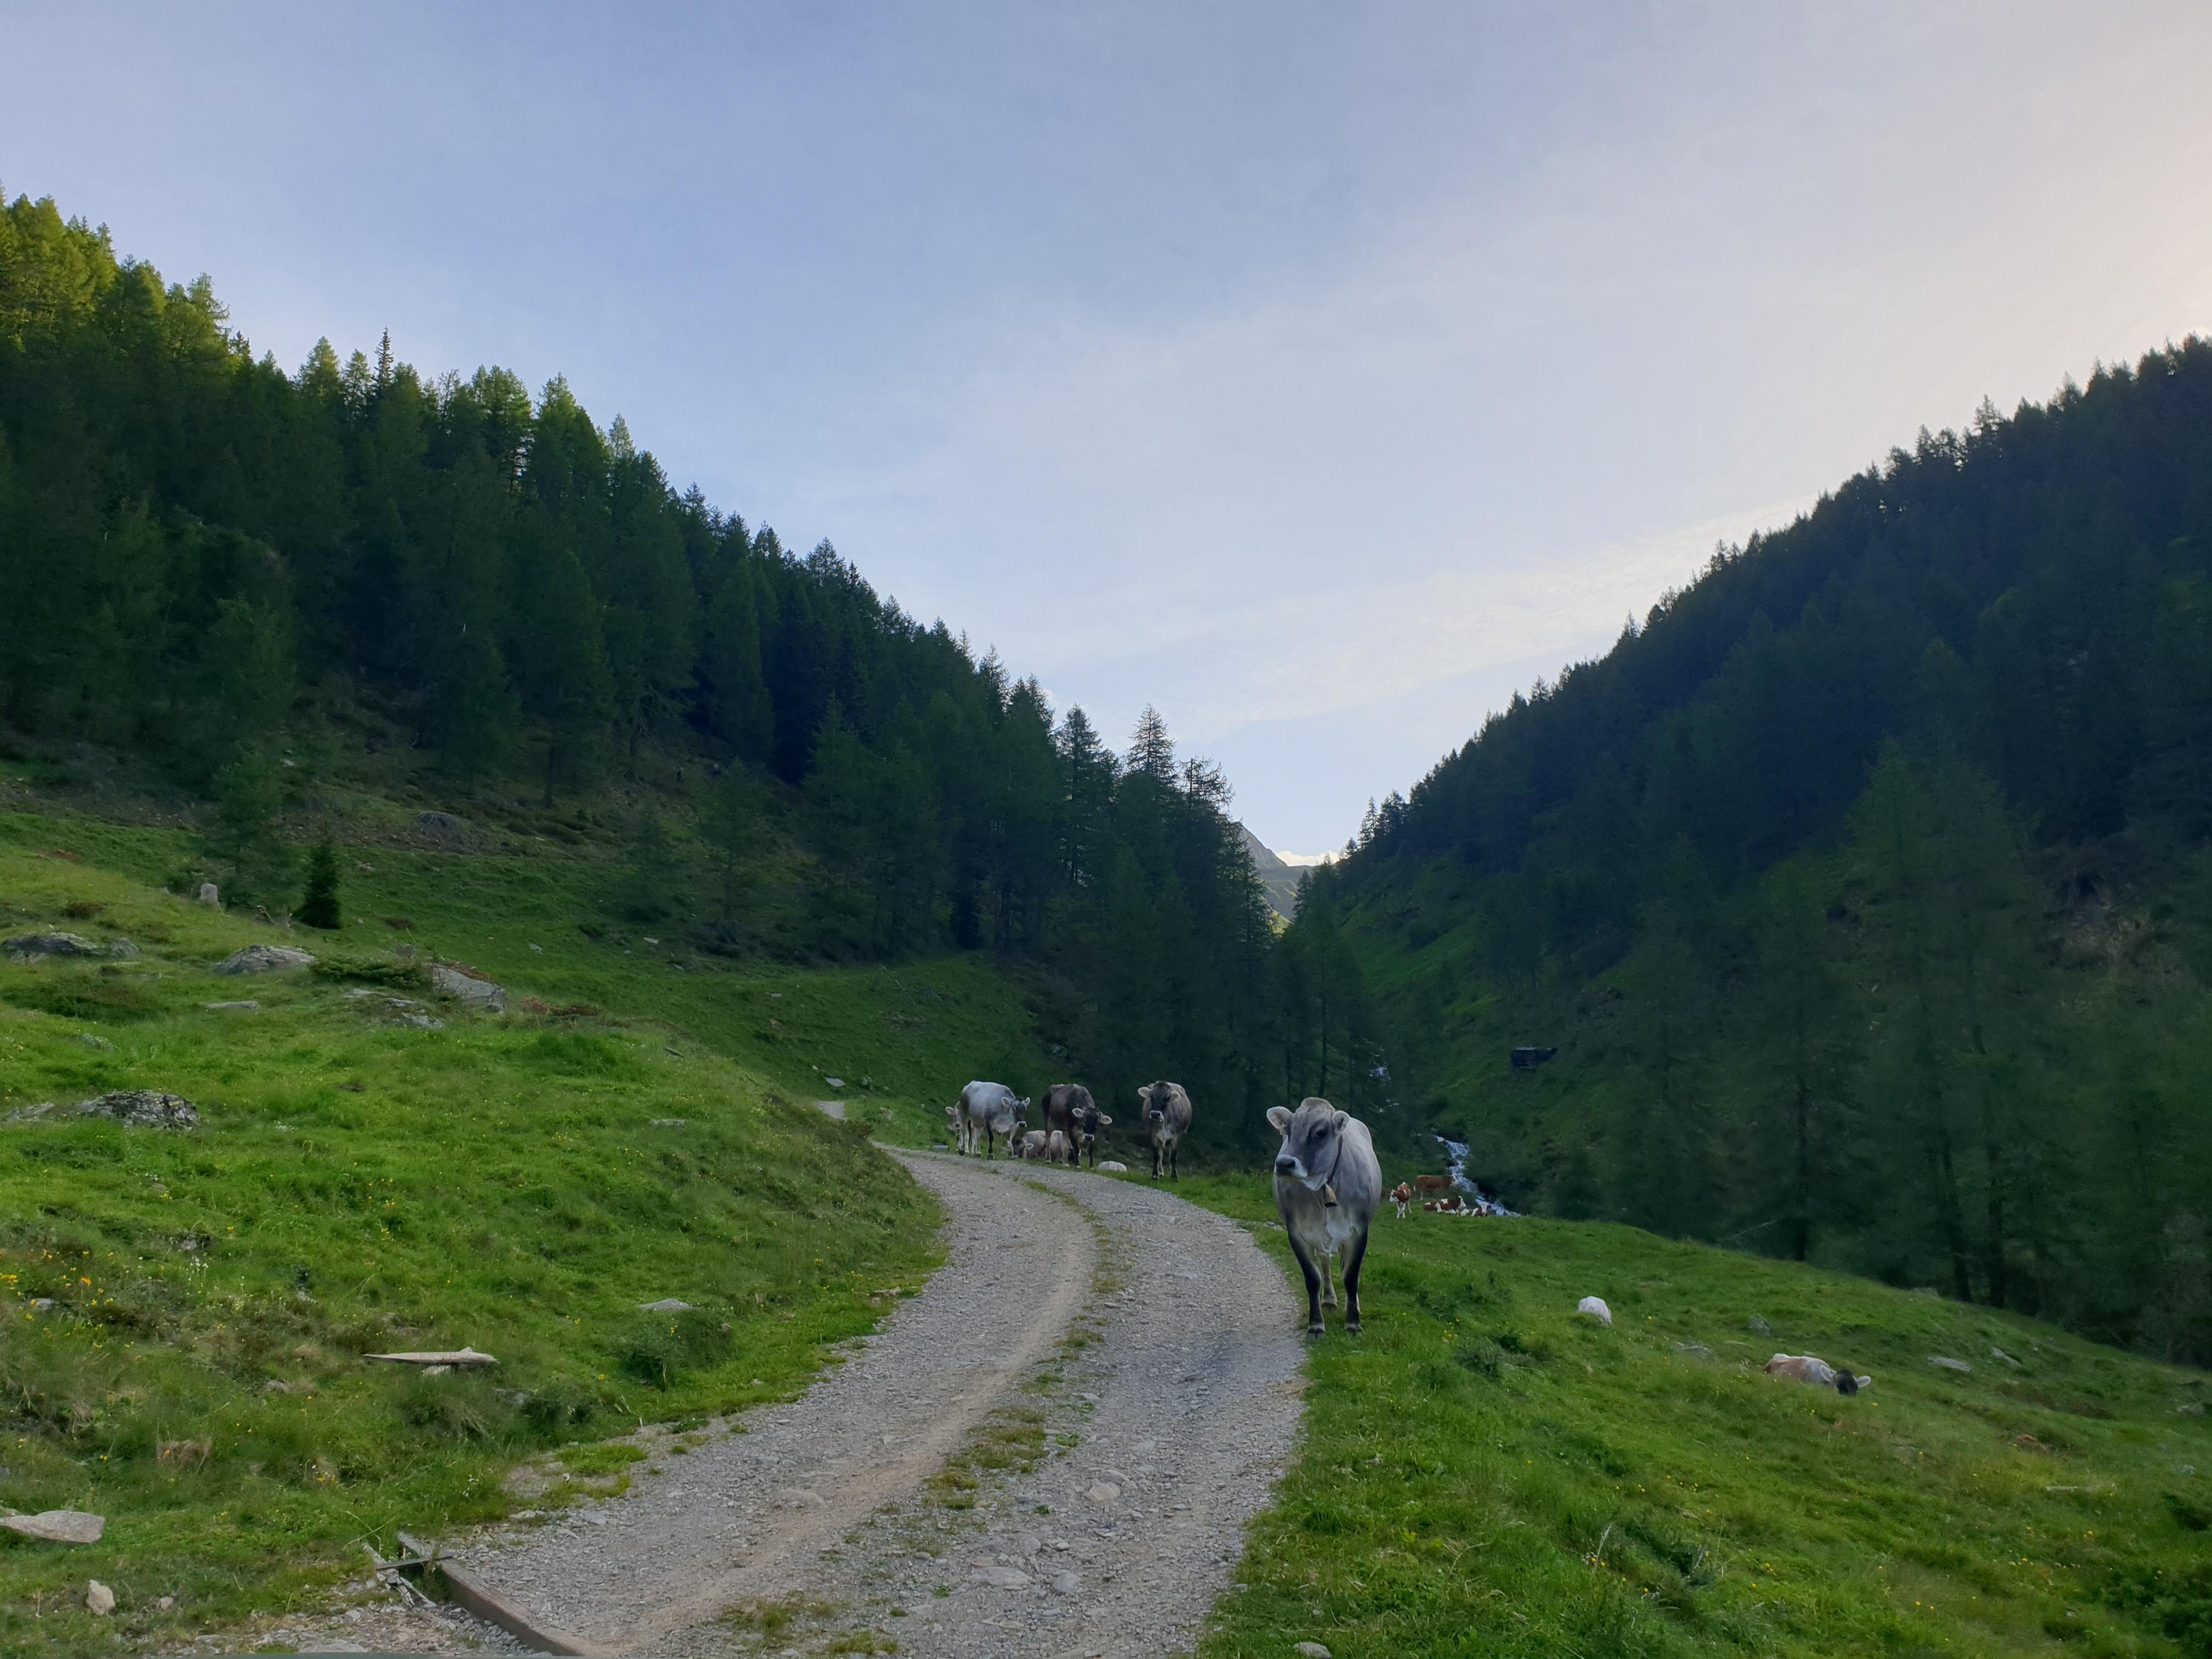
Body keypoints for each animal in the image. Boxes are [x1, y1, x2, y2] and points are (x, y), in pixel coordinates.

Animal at [955, 1081, 1028, 1160]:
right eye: (1014, 1109)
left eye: (1025, 1109)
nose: (1022, 1124)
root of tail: (969, 1085)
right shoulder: (988, 1121)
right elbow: (991, 1138)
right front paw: (990, 1155)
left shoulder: (1014, 1126)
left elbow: (1013, 1140)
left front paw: (1015, 1156)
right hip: (965, 1115)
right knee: (964, 1131)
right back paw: (963, 1149)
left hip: (979, 1122)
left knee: (978, 1136)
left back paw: (978, 1153)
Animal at [1136, 1081, 1193, 1180]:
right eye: (1151, 1097)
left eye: (1167, 1098)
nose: (1155, 1114)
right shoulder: (1154, 1134)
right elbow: (1157, 1155)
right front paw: (1155, 1174)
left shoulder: (1177, 1135)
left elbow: (1173, 1157)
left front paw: (1174, 1176)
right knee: (1161, 1155)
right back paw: (1161, 1172)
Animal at [1270, 1097, 1382, 1337]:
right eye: (1288, 1130)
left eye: (1320, 1133)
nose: (1284, 1164)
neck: (1322, 1189)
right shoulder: (1296, 1232)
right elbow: (1313, 1278)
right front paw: (1316, 1324)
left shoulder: (1359, 1231)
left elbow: (1351, 1276)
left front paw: (1353, 1322)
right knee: (1325, 1262)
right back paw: (1329, 1300)